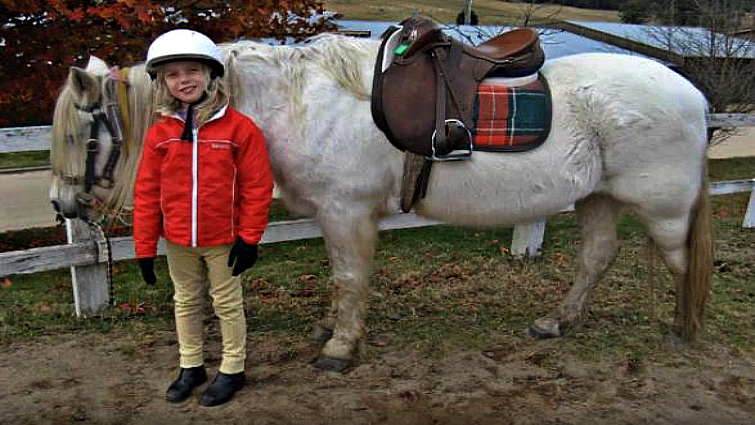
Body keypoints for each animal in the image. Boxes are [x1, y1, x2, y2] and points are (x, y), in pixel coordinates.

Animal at [49, 32, 713, 373]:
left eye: (84, 135)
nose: (62, 207)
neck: (302, 101)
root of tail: (693, 93)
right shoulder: (332, 215)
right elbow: (339, 278)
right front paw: (330, 327)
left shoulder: (347, 212)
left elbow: (349, 277)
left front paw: (341, 348)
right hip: (596, 197)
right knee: (596, 258)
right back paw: (557, 322)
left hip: (662, 209)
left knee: (681, 263)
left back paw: (684, 331)